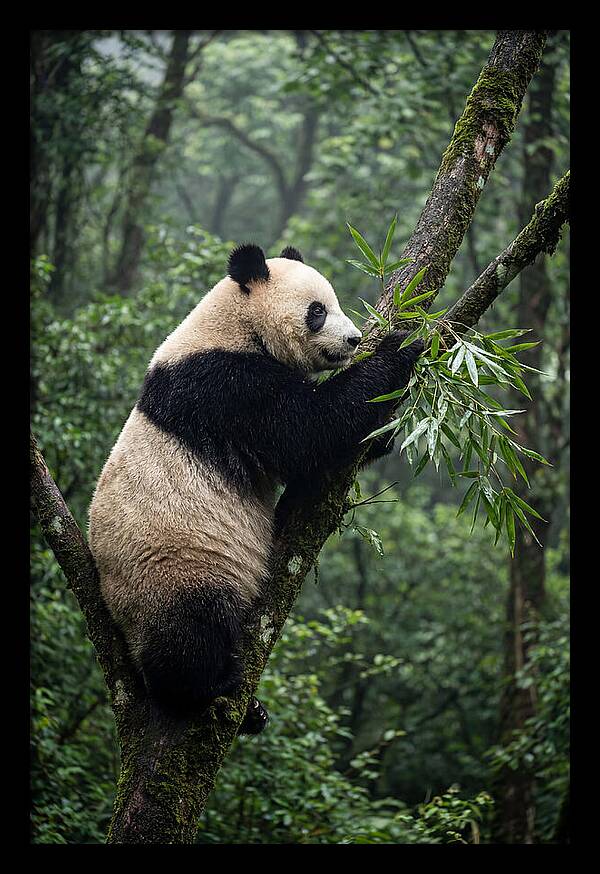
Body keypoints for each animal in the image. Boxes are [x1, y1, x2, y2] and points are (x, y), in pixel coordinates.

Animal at [89, 243, 422, 734]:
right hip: (173, 565)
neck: (234, 325)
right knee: (190, 631)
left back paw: (252, 712)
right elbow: (308, 429)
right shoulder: (223, 385)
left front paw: (383, 432)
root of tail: (117, 616)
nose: (354, 340)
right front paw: (402, 346)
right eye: (317, 311)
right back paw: (211, 686)